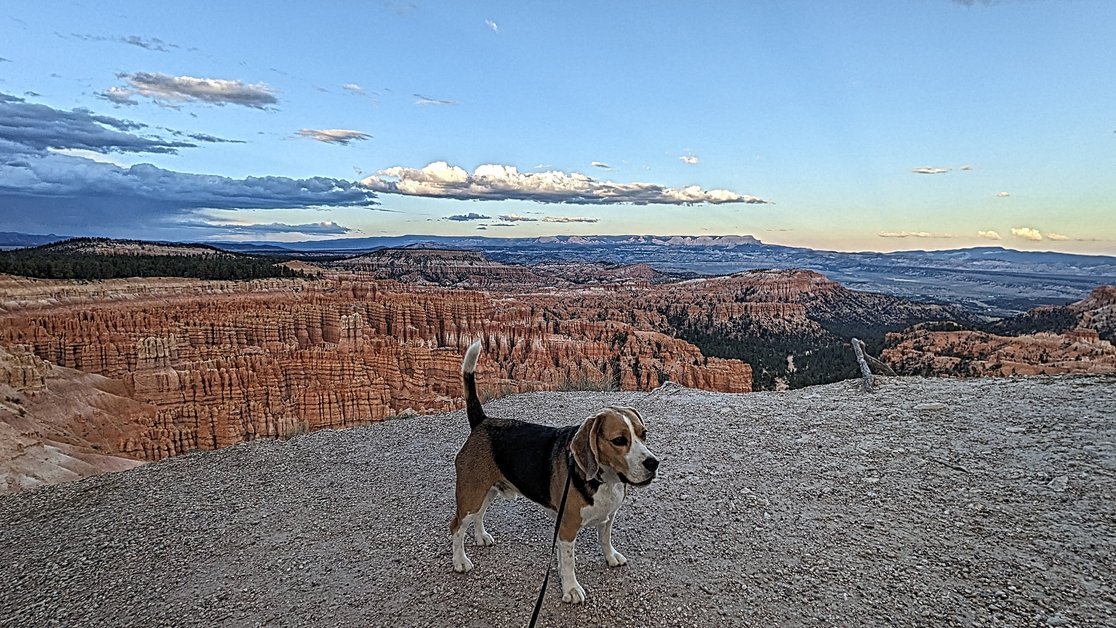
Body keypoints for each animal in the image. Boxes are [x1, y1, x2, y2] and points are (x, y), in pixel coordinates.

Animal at [448, 343, 656, 602]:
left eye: (643, 434)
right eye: (619, 440)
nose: (653, 463)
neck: (604, 481)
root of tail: (482, 422)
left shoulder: (608, 516)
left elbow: (605, 539)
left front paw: (610, 557)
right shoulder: (566, 529)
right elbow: (568, 562)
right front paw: (571, 588)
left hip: (488, 490)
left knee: (479, 515)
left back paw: (480, 537)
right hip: (471, 494)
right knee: (456, 527)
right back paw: (460, 561)